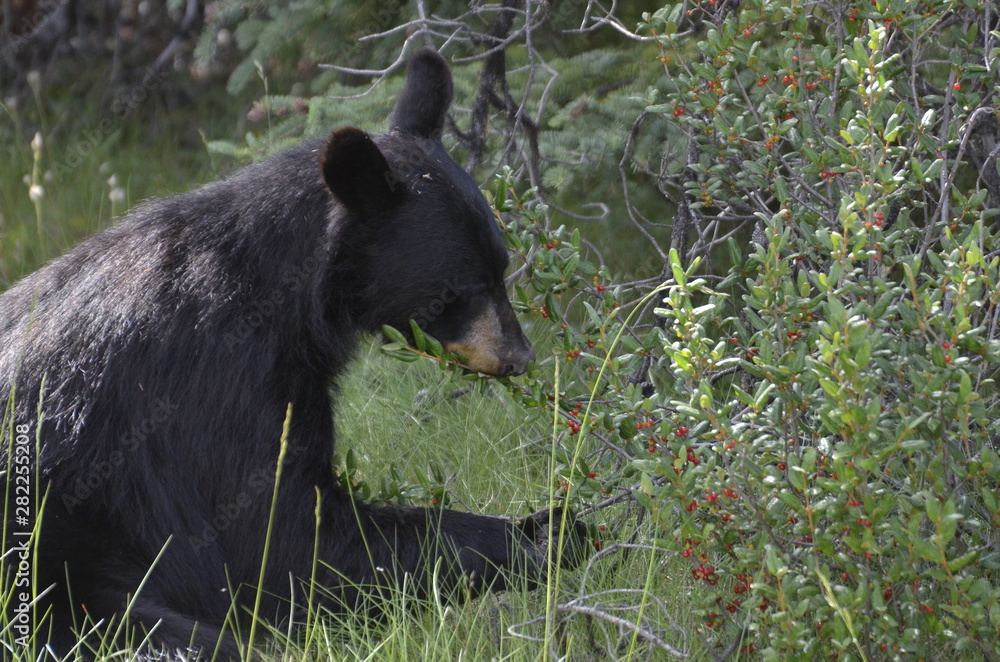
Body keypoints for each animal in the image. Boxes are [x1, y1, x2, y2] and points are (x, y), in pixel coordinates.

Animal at [0, 49, 586, 660]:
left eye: (502, 268)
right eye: (464, 289)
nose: (520, 357)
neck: (287, 294)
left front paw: (550, 523)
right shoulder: (216, 381)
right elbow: (283, 541)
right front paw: (548, 537)